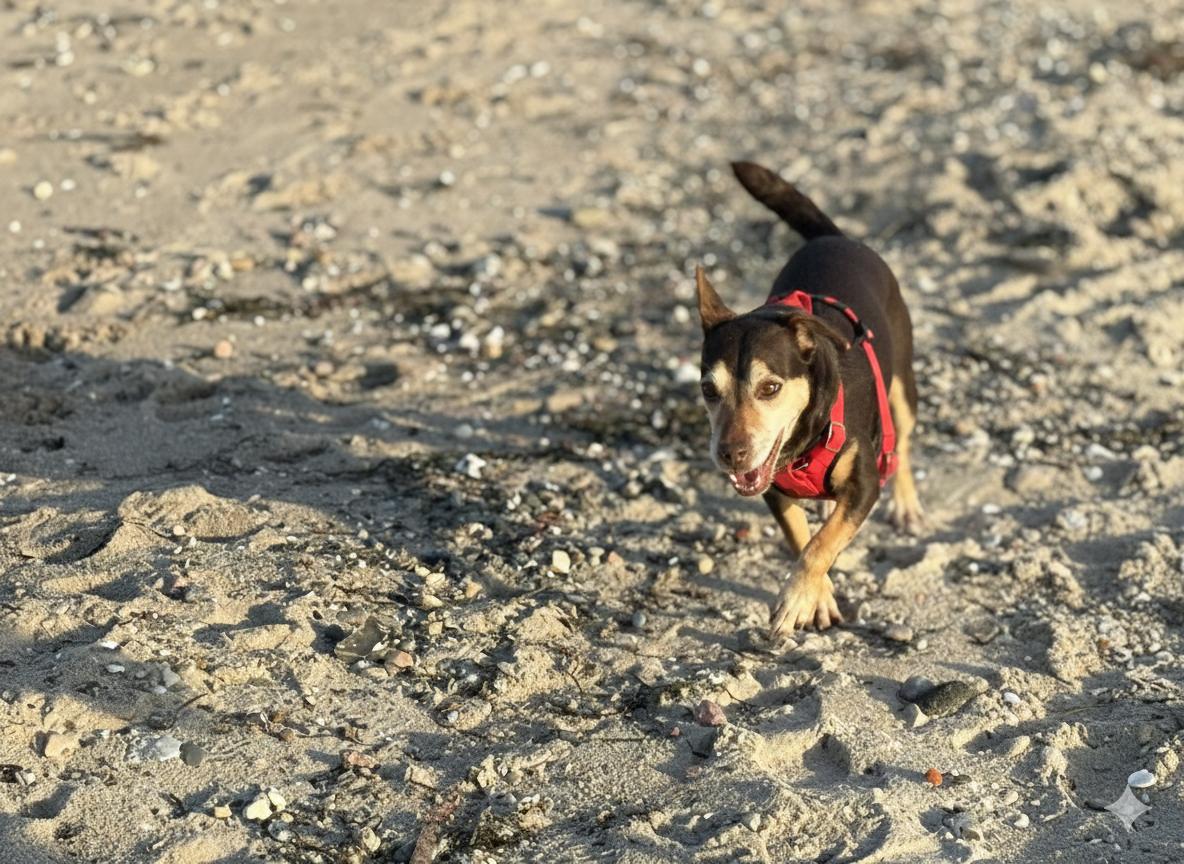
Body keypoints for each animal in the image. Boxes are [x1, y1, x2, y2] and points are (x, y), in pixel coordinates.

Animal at [695, 161, 923, 639]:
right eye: (709, 390)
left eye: (770, 388)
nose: (731, 454)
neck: (804, 440)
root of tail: (832, 237)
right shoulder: (772, 488)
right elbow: (803, 537)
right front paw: (816, 599)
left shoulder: (864, 486)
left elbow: (823, 542)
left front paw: (796, 597)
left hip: (902, 388)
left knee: (904, 443)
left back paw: (907, 505)